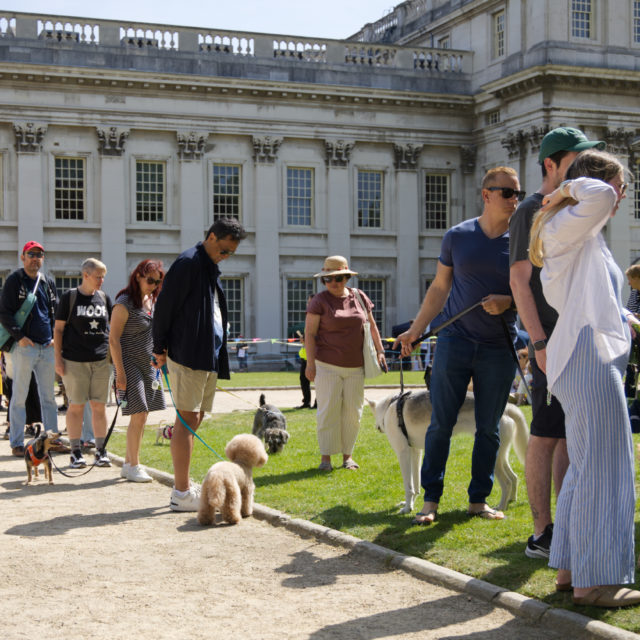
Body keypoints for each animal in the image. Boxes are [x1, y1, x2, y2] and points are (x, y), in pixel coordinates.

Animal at [368, 390, 528, 516]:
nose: (376, 428)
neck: (390, 407)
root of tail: (507, 408)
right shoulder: (416, 452)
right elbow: (416, 485)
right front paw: (411, 504)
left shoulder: (403, 453)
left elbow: (409, 487)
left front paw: (407, 508)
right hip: (501, 456)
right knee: (514, 477)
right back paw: (511, 500)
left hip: (492, 460)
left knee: (507, 482)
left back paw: (500, 507)